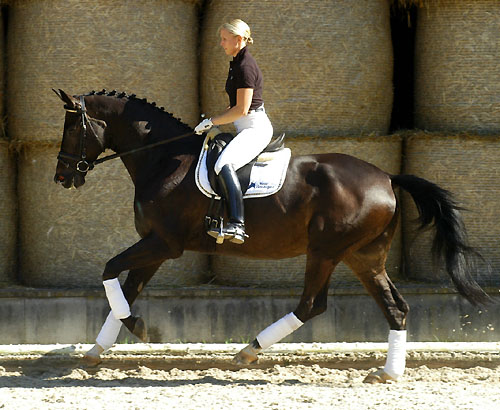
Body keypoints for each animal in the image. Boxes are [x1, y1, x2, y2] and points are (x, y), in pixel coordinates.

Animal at [52, 89, 490, 382]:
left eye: (72, 127)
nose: (62, 177)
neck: (163, 159)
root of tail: (386, 176)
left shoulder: (163, 244)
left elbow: (110, 271)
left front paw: (138, 329)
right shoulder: (156, 247)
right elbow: (123, 293)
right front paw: (97, 349)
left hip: (326, 251)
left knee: (312, 304)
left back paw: (249, 351)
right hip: (363, 257)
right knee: (395, 307)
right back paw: (388, 373)